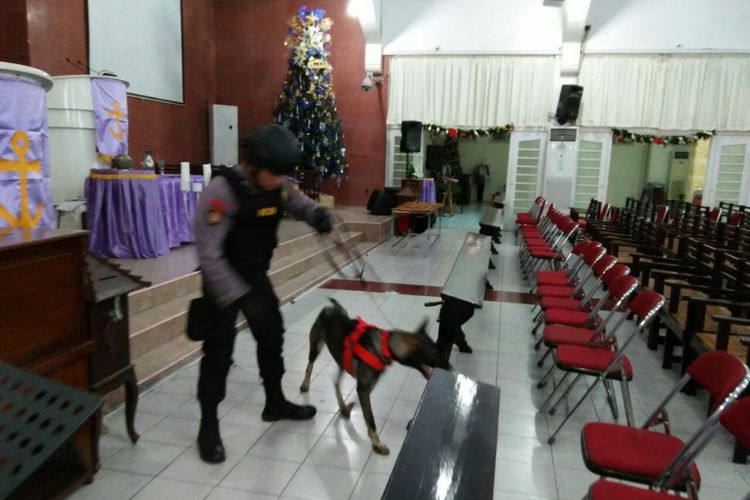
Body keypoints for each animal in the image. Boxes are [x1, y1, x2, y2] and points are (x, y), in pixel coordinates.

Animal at [302, 298, 452, 456]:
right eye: (435, 354)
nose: (451, 368)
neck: (385, 345)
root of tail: (329, 308)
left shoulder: (367, 388)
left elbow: (365, 410)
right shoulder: (363, 389)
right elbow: (371, 420)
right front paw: (377, 444)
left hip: (342, 359)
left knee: (335, 382)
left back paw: (343, 407)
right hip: (316, 346)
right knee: (310, 365)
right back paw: (305, 384)